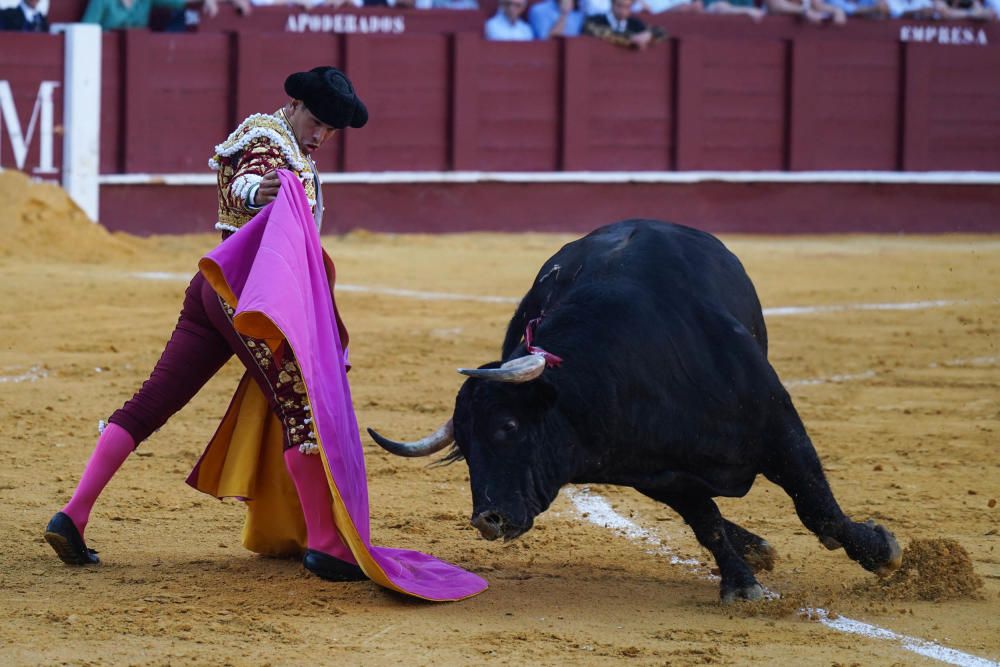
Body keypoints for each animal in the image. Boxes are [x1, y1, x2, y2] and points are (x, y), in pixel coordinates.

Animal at [370, 222, 908, 604]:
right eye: (464, 448)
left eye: (509, 426)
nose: (488, 520)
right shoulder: (657, 474)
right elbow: (707, 522)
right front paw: (741, 583)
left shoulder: (778, 427)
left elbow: (818, 507)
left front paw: (882, 552)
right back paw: (755, 548)